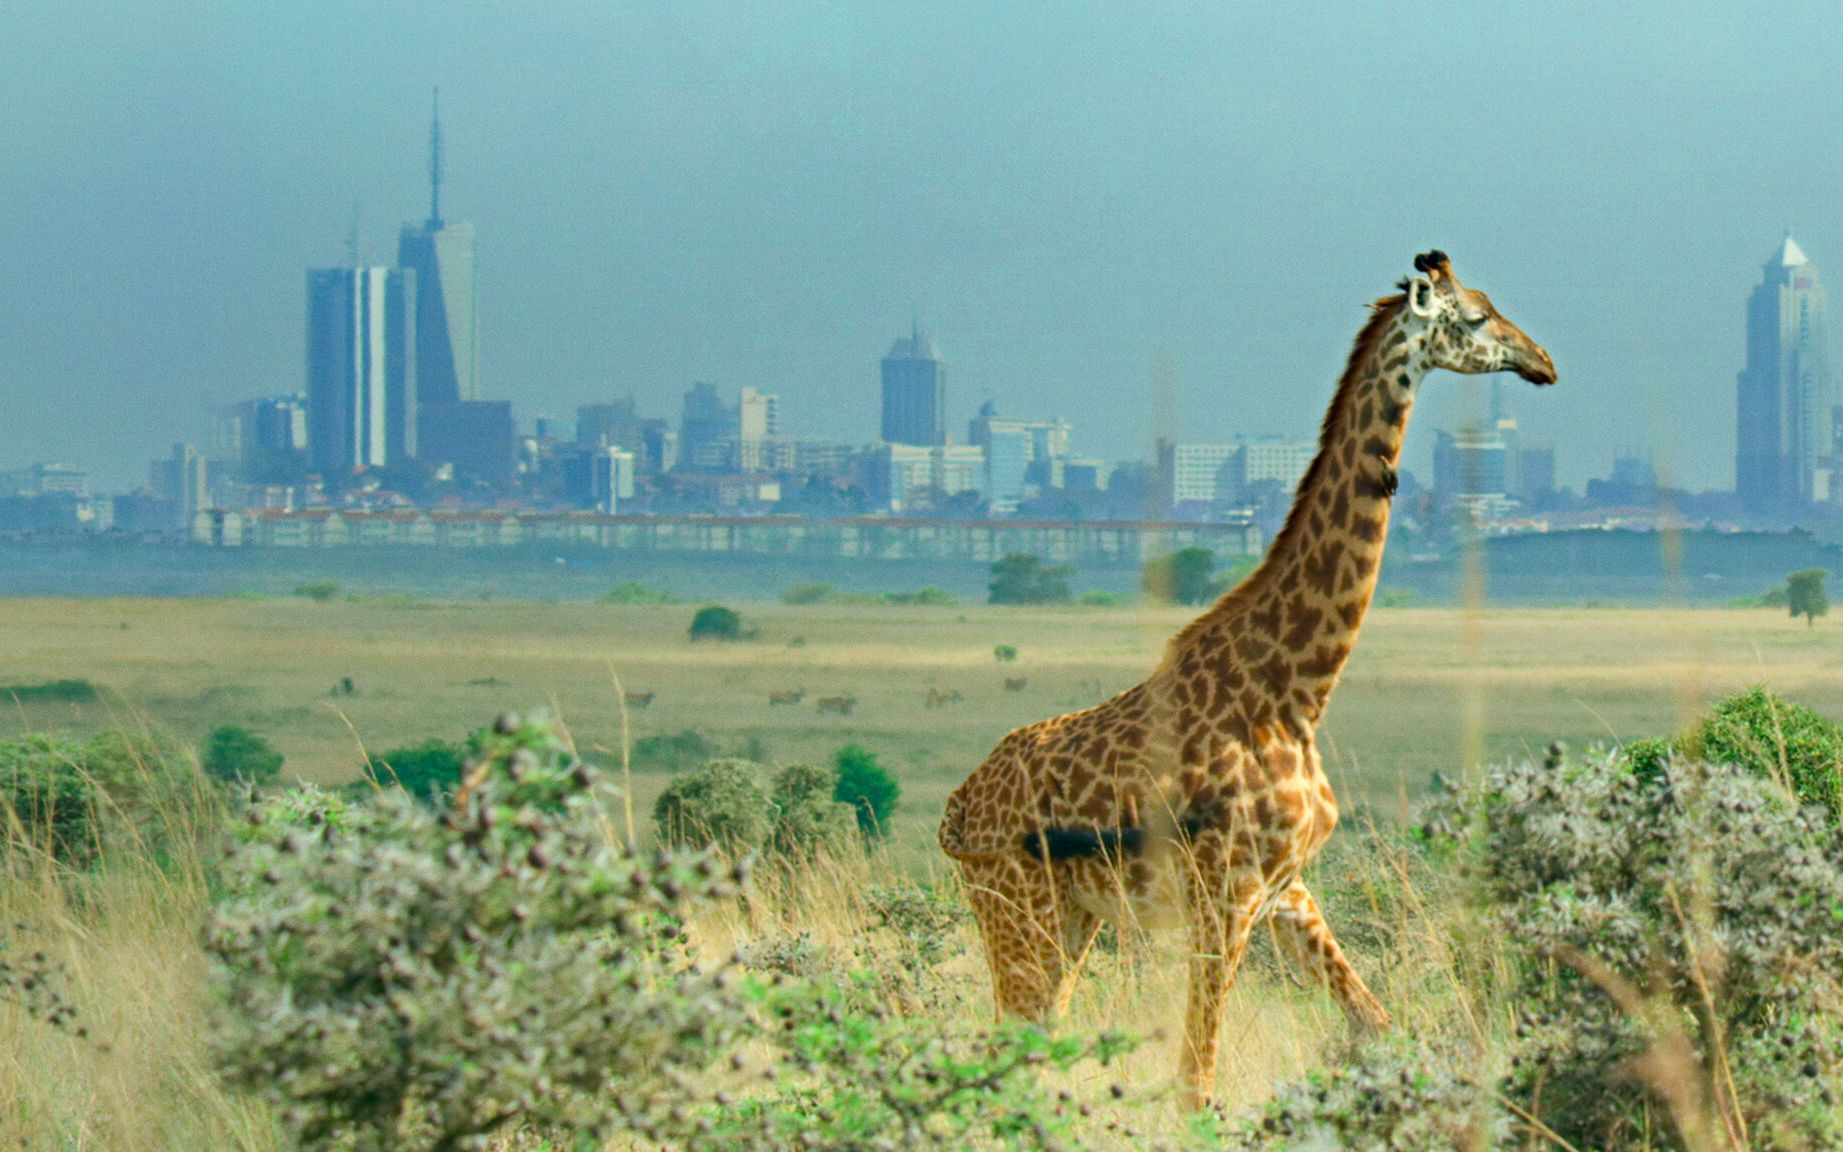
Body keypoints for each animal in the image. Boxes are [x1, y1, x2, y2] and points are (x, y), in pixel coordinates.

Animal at [936, 250, 1555, 1105]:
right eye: (1474, 317)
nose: (1543, 362)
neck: (1294, 691)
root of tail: (959, 808)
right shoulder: (1223, 894)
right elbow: (1195, 1078)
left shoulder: (1283, 888)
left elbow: (1376, 1023)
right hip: (1014, 910)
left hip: (1068, 916)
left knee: (1029, 1045)